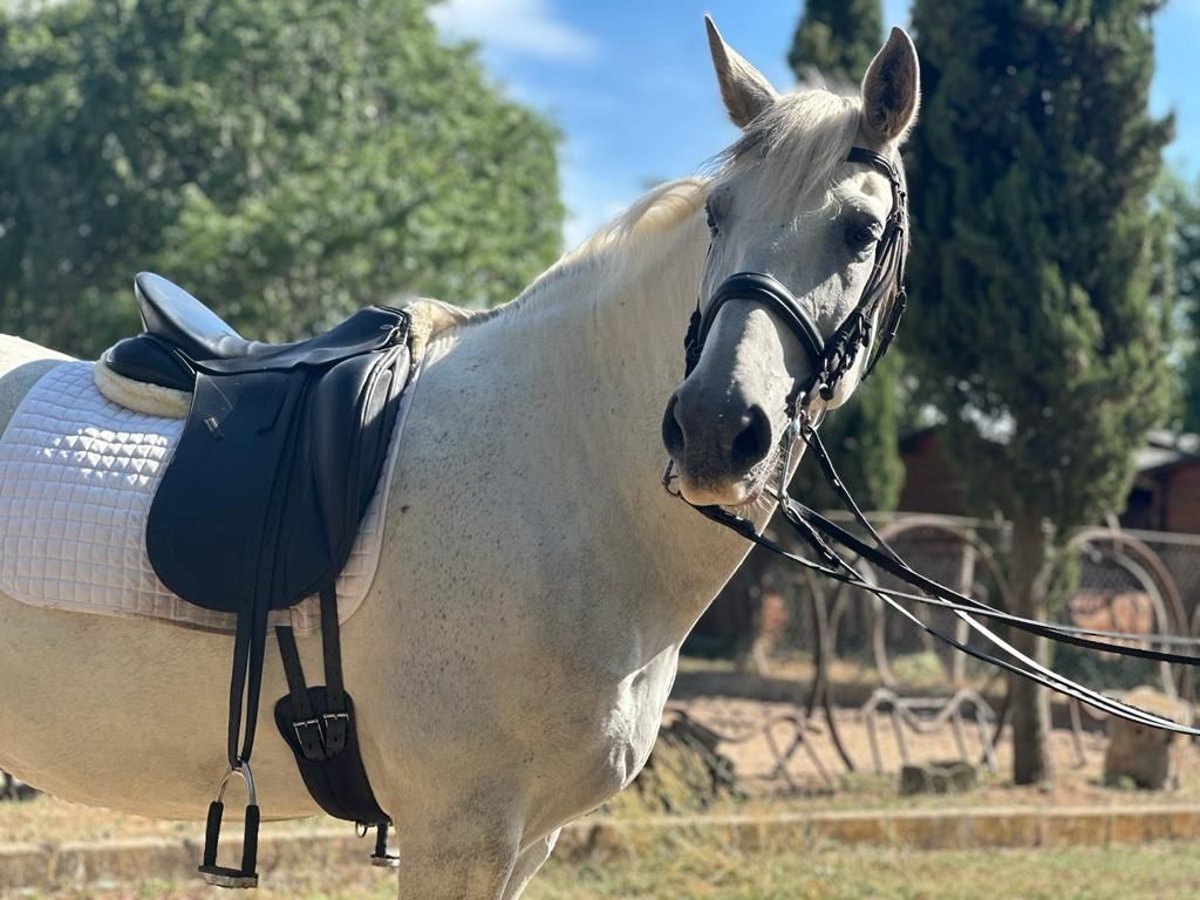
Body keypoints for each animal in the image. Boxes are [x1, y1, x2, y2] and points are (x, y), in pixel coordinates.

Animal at [0, 17, 916, 897]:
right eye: (718, 215)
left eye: (861, 229)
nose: (714, 429)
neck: (560, 471)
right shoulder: (458, 830)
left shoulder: (526, 840)